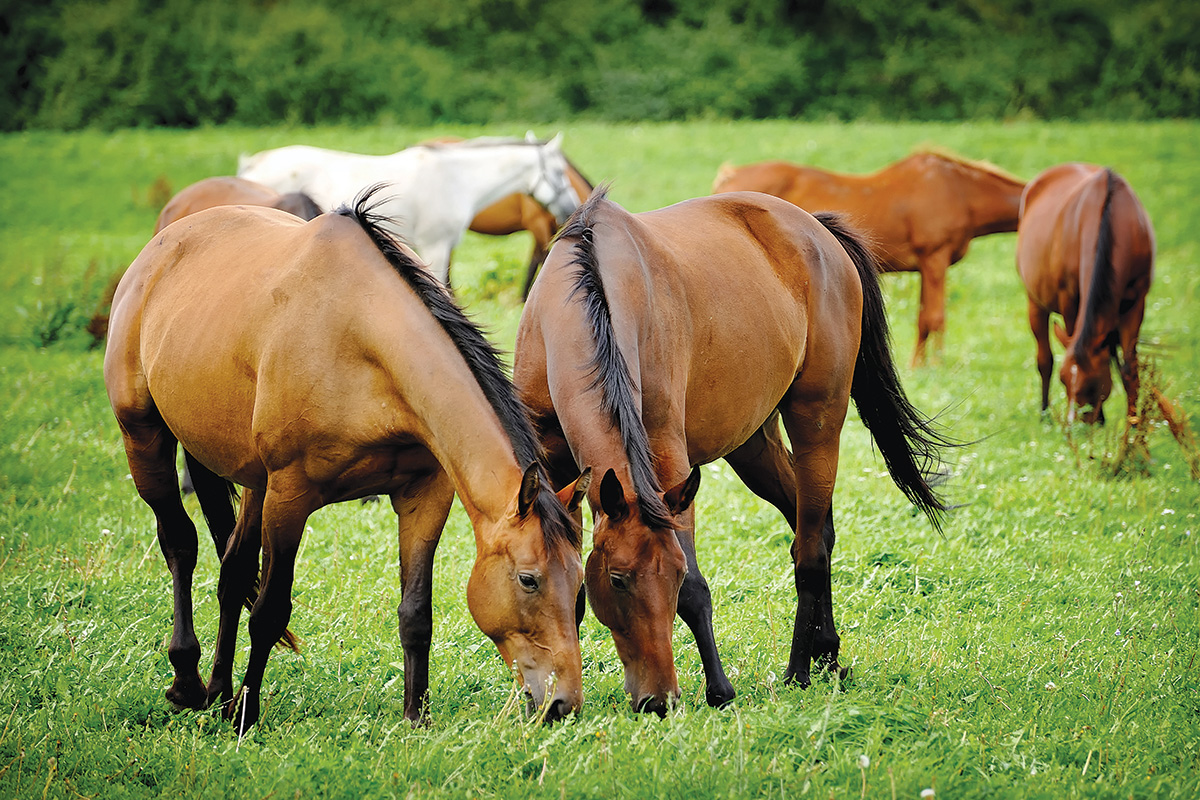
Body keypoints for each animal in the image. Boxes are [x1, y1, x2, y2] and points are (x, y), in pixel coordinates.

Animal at [105, 185, 592, 734]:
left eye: (579, 585)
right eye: (529, 580)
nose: (563, 703)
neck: (360, 339)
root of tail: (161, 246)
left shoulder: (424, 497)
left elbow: (416, 613)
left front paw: (416, 718)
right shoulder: (290, 499)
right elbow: (270, 611)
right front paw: (248, 717)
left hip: (253, 482)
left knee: (232, 572)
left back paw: (220, 692)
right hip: (145, 438)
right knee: (180, 544)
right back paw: (188, 680)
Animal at [511, 188, 950, 714]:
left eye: (674, 576)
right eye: (617, 579)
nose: (658, 700)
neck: (583, 299)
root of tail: (816, 230)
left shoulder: (669, 462)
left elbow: (698, 590)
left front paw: (718, 690)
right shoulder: (558, 471)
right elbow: (567, 591)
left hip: (817, 423)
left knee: (809, 550)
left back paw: (799, 671)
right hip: (753, 446)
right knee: (815, 529)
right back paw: (826, 653)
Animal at [710, 151, 1022, 367]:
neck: (958, 190)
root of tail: (730, 176)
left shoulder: (925, 266)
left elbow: (923, 318)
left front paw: (918, 365)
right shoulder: (935, 258)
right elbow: (935, 318)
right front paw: (935, 365)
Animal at [1017, 163, 1156, 424]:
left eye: (1092, 384)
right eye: (1064, 381)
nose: (1074, 426)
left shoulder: (1136, 303)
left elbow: (1129, 369)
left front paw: (1133, 427)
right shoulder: (1070, 300)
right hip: (1035, 302)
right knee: (1044, 359)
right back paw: (1044, 414)